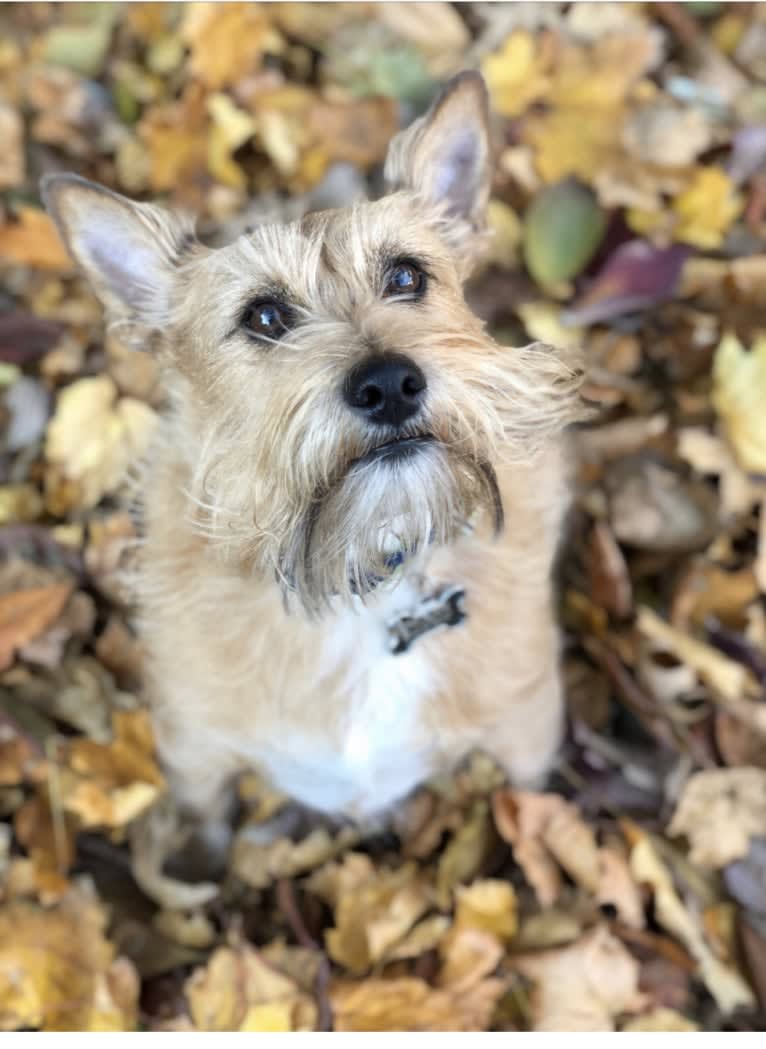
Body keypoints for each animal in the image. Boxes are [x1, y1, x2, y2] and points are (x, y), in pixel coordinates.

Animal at [43, 71, 583, 902]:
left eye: (406, 275)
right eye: (263, 316)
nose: (389, 383)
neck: (360, 579)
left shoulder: (528, 726)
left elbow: (534, 809)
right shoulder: (195, 750)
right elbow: (202, 825)